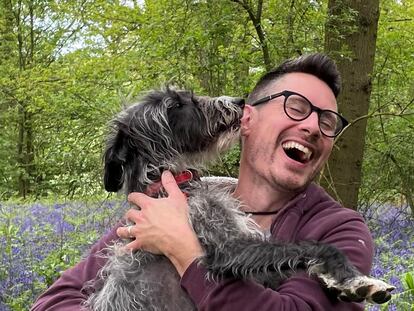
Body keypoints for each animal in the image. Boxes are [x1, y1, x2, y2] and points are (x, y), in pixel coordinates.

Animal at [83, 87, 392, 311]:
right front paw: (354, 278)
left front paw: (340, 282)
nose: (239, 101)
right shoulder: (230, 248)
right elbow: (312, 246)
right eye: (176, 105)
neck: (165, 181)